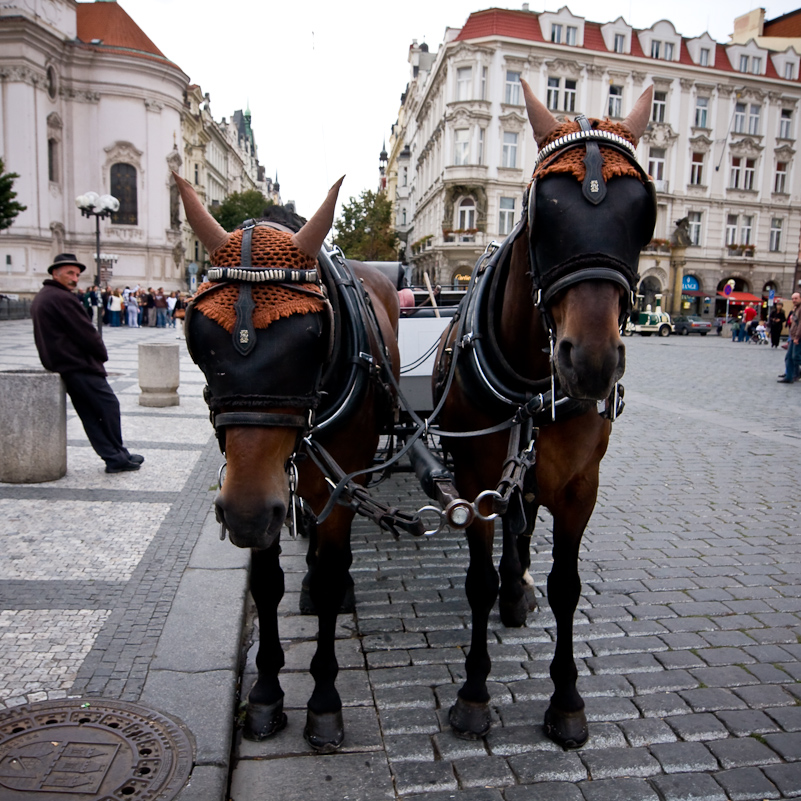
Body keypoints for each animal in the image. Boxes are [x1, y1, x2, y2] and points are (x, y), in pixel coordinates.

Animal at [175, 173, 400, 752]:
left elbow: (330, 576)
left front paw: (323, 701)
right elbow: (267, 583)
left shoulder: (334, 489)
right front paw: (266, 692)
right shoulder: (264, 493)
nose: (246, 514)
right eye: (196, 341)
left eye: (313, 338)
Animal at [434, 78, 652, 748]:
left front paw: (566, 699)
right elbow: (478, 579)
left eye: (644, 214)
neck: (532, 387)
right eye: (541, 211)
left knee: (524, 525)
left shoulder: (581, 486)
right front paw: (473, 692)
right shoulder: (474, 481)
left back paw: (519, 588)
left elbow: (566, 586)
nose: (593, 361)